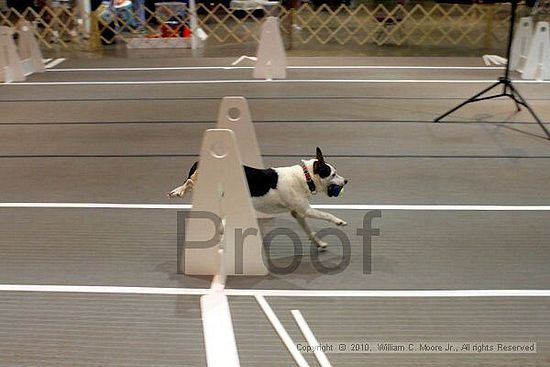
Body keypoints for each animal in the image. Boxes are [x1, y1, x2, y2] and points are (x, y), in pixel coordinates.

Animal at [168, 148, 350, 252]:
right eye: (333, 174)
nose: (346, 181)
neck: (306, 177)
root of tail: (200, 160)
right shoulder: (306, 210)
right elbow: (326, 214)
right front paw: (339, 221)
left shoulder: (298, 213)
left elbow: (309, 231)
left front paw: (319, 243)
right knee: (190, 181)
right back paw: (180, 190)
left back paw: (177, 191)